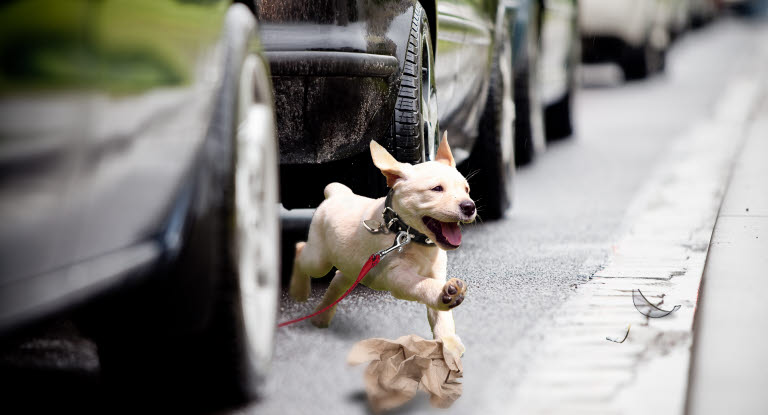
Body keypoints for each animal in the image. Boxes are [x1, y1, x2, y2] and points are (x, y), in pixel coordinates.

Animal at [288, 133, 474, 354]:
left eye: (467, 190)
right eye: (437, 189)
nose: (470, 206)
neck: (408, 236)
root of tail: (337, 194)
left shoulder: (437, 273)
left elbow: (441, 315)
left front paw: (448, 341)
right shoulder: (397, 277)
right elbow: (422, 285)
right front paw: (445, 293)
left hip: (352, 270)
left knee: (337, 280)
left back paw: (320, 317)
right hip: (318, 260)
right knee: (301, 249)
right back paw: (299, 291)